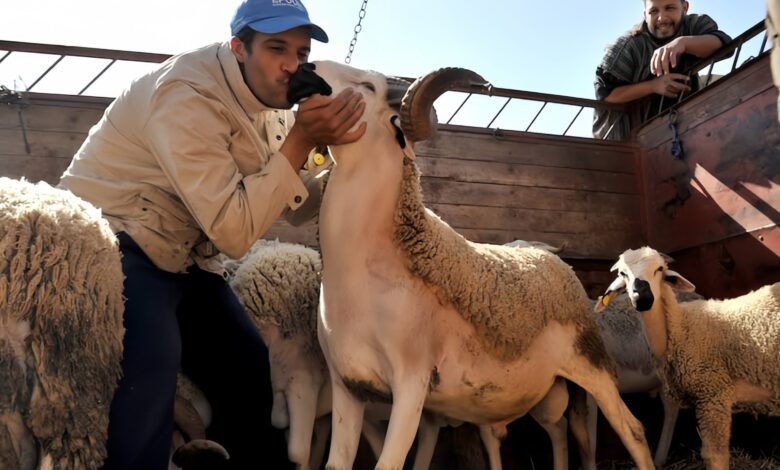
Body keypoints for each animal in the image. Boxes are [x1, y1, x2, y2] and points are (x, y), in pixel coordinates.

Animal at [306, 61, 654, 470]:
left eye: (367, 85)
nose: (309, 67)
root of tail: (548, 257)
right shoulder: (347, 386)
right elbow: (336, 464)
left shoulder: (411, 384)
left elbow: (389, 463)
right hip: (544, 391)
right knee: (556, 432)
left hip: (590, 365)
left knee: (631, 429)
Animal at [595, 246, 780, 470]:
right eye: (623, 273)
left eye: (659, 269)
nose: (642, 298)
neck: (681, 327)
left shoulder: (714, 395)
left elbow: (715, 457)